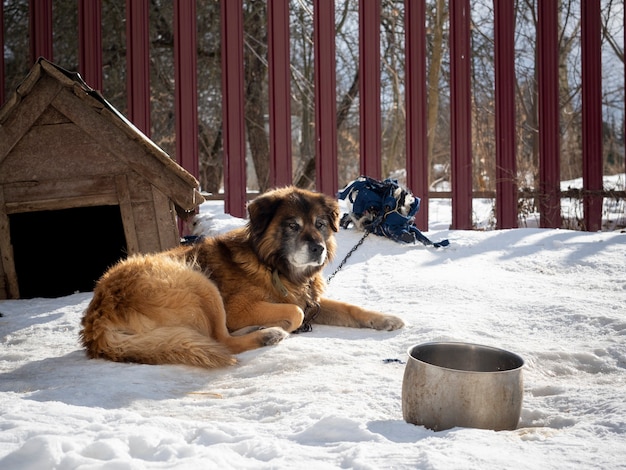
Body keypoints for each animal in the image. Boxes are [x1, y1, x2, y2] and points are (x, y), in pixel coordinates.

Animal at [80, 186, 402, 368]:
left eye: (320, 224)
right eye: (293, 226)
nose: (318, 249)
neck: (273, 266)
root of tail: (98, 318)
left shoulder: (311, 300)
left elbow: (350, 308)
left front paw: (385, 319)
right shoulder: (240, 308)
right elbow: (294, 312)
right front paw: (285, 324)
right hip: (199, 283)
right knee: (221, 339)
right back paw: (267, 334)